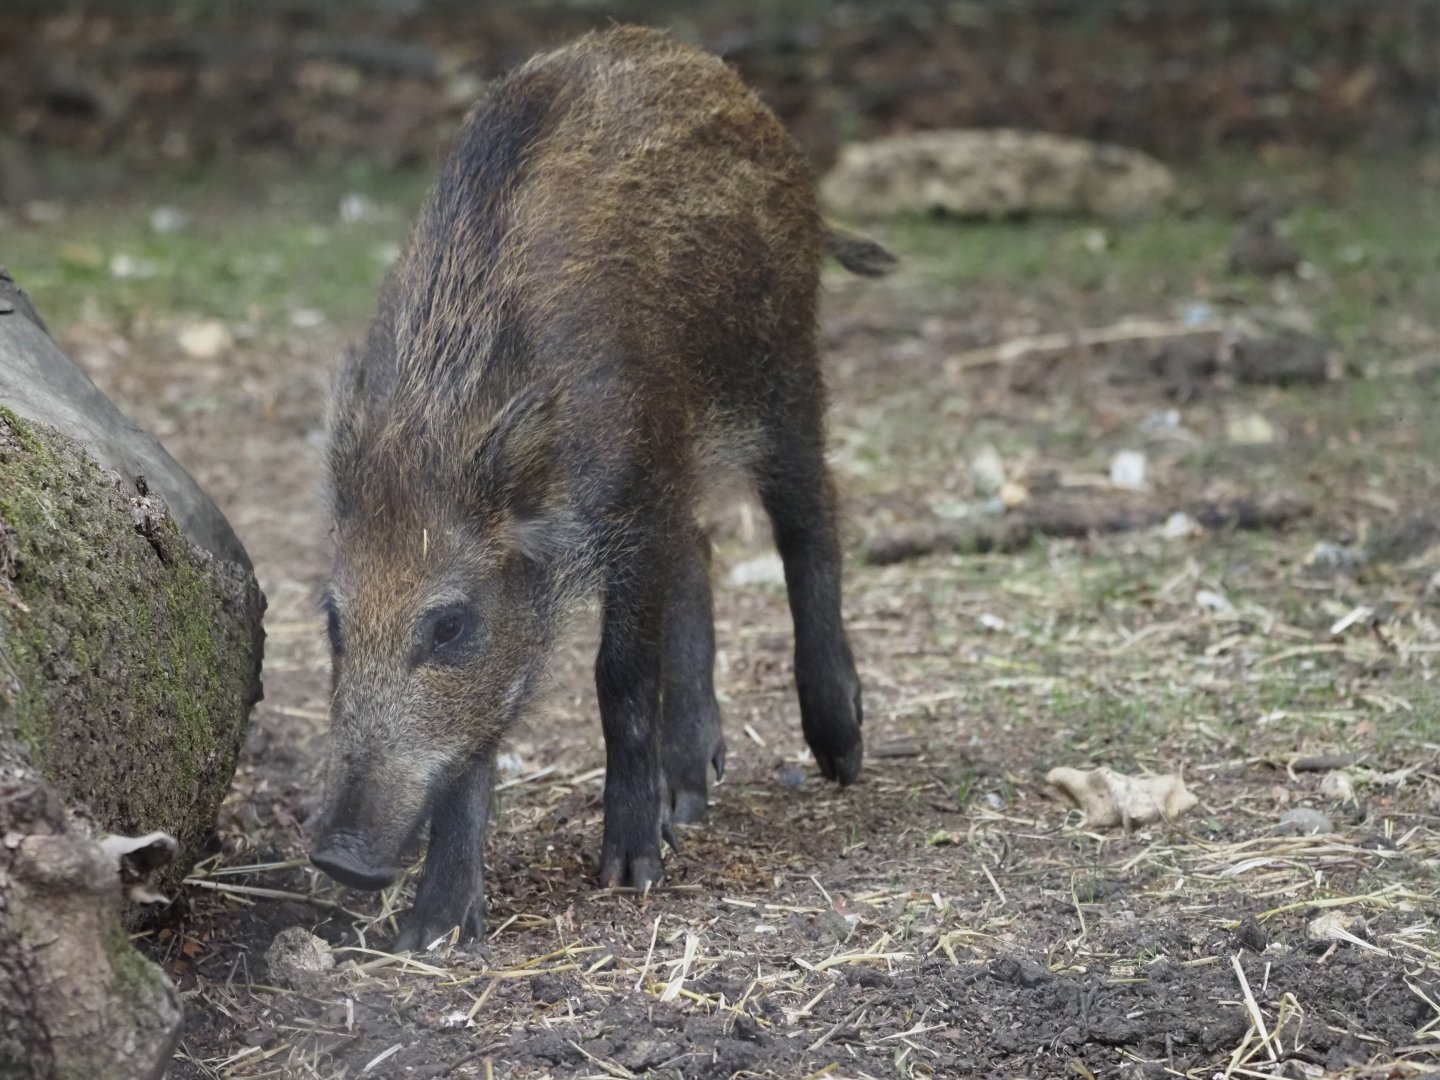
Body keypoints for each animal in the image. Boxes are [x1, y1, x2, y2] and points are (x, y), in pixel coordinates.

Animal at [308, 25, 894, 950]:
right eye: (333, 620)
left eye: (448, 624)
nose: (337, 860)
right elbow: (481, 733)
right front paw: (434, 933)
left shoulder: (631, 501)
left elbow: (616, 677)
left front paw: (630, 869)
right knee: (702, 546)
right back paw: (691, 795)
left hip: (784, 369)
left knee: (809, 522)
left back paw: (839, 752)